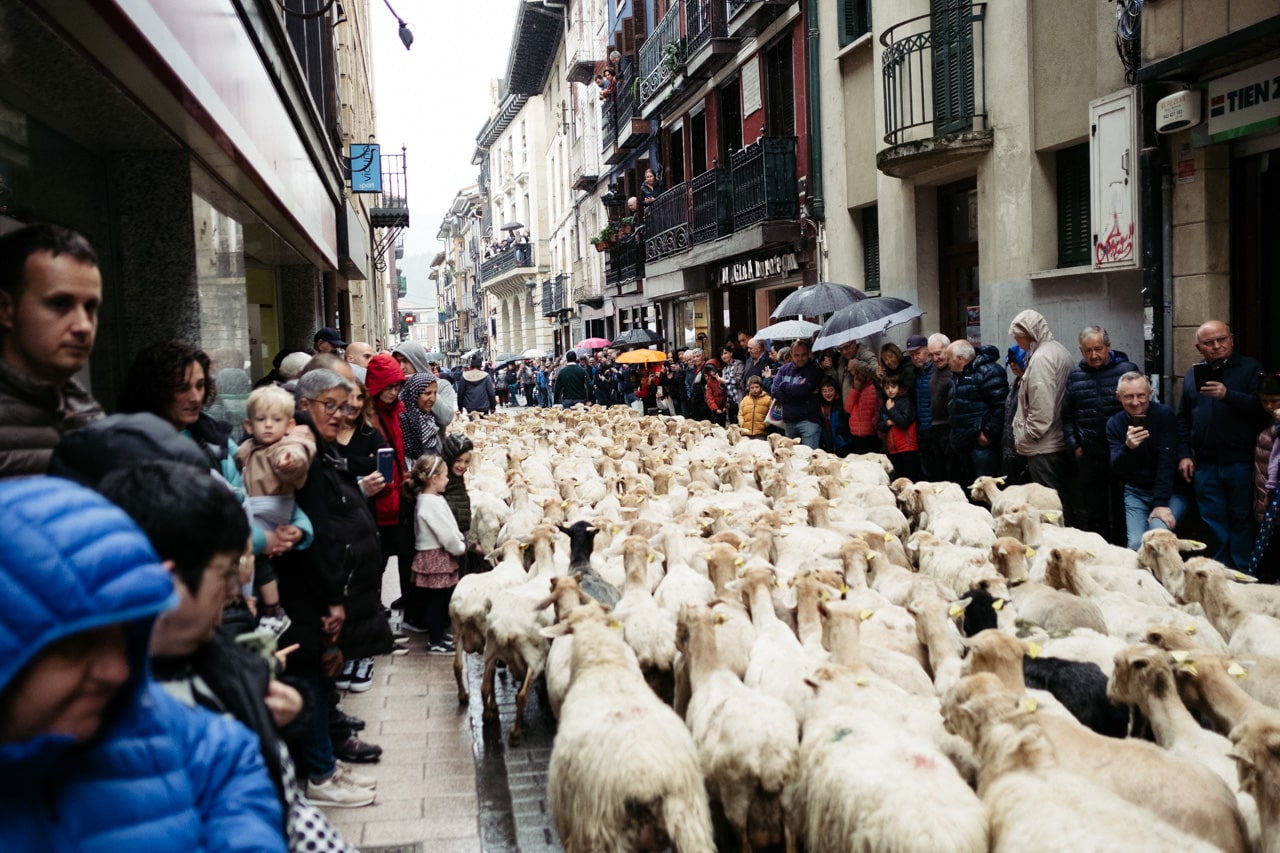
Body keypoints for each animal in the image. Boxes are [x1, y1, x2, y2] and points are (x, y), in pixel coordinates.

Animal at [678, 603, 798, 851]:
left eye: (679, 622)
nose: (675, 643)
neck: (711, 673)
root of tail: (770, 763)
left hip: (737, 798)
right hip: (790, 801)